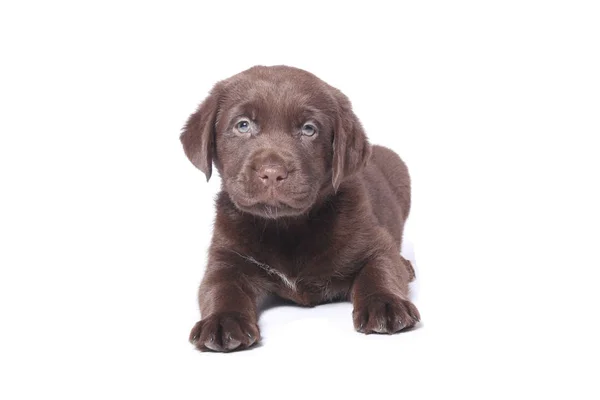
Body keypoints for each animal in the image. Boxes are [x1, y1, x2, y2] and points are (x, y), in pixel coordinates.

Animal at [180, 66, 420, 354]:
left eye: (308, 129)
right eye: (243, 125)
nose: (272, 173)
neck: (286, 227)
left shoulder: (374, 240)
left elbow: (381, 268)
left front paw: (385, 304)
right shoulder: (225, 257)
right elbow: (219, 287)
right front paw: (222, 321)